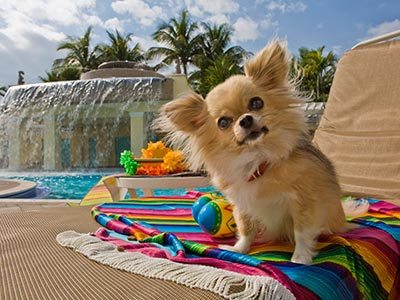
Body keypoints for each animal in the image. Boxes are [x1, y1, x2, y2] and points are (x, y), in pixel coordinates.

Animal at [154, 40, 368, 264]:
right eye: (223, 122)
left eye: (256, 103)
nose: (246, 119)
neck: (257, 160)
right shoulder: (243, 205)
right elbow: (246, 229)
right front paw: (239, 249)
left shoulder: (304, 202)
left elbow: (302, 232)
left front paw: (300, 257)